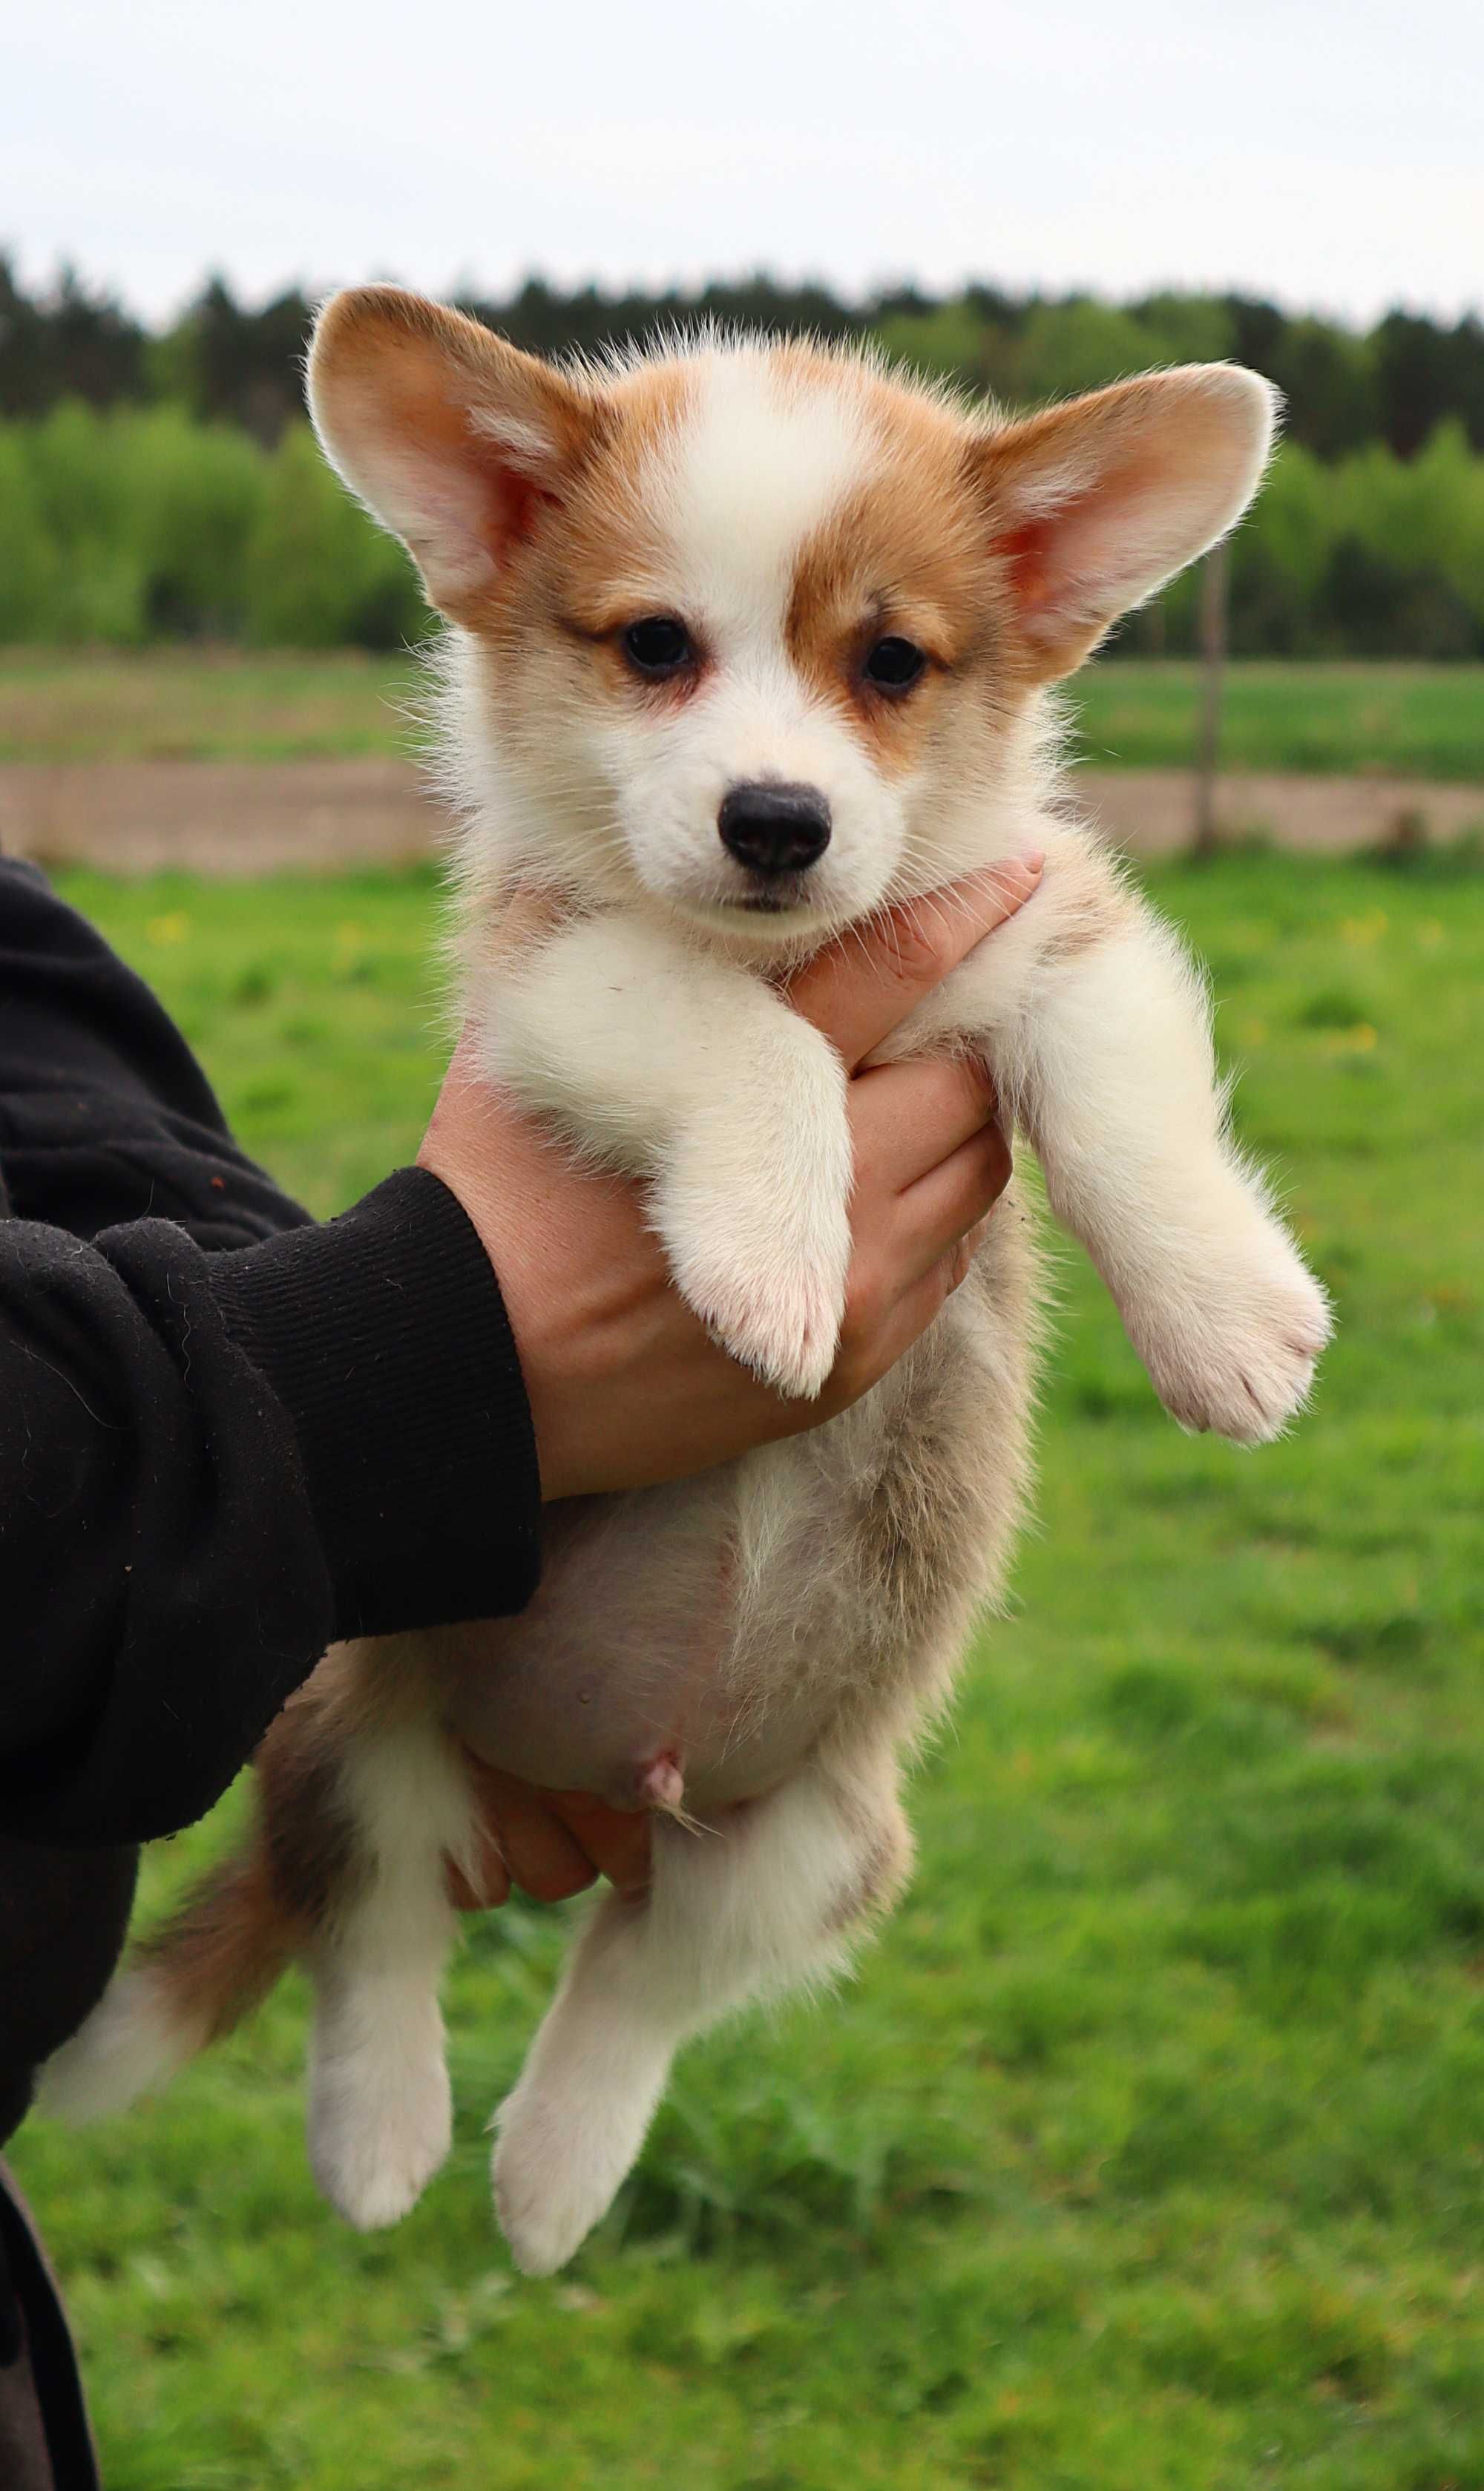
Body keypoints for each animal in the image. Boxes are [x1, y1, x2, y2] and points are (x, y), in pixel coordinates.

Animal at [46, 291, 1324, 2282]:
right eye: (655, 645)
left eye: (891, 662)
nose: (777, 820)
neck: (794, 946)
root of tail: (611, 1783)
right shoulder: (558, 987)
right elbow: (739, 1037)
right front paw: (774, 1263)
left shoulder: (1055, 931)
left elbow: (1122, 1099)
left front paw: (1227, 1323)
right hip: (349, 1715)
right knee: (373, 1920)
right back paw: (385, 2139)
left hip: (808, 1842)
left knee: (637, 1978)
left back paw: (552, 2173)